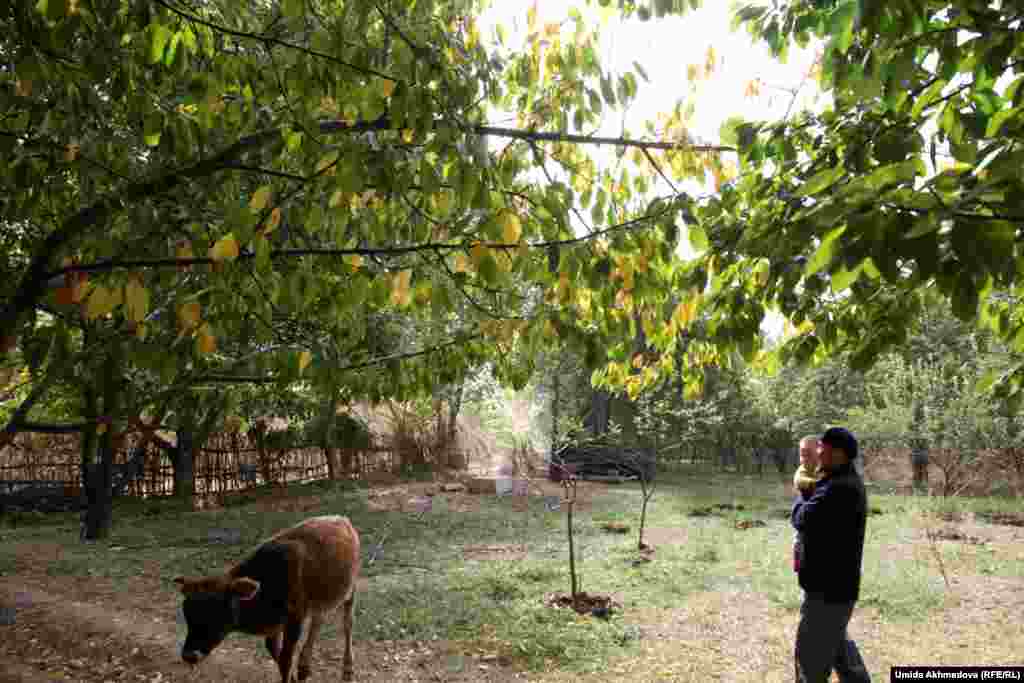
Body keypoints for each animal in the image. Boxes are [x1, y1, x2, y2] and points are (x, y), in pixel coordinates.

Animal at [171, 516, 356, 679]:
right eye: (187, 613)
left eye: (216, 612)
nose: (189, 655)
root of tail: (341, 519)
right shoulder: (275, 626)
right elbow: (277, 655)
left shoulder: (295, 618)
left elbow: (285, 659)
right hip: (322, 598)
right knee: (319, 618)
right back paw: (304, 667)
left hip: (350, 589)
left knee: (347, 623)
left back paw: (347, 669)